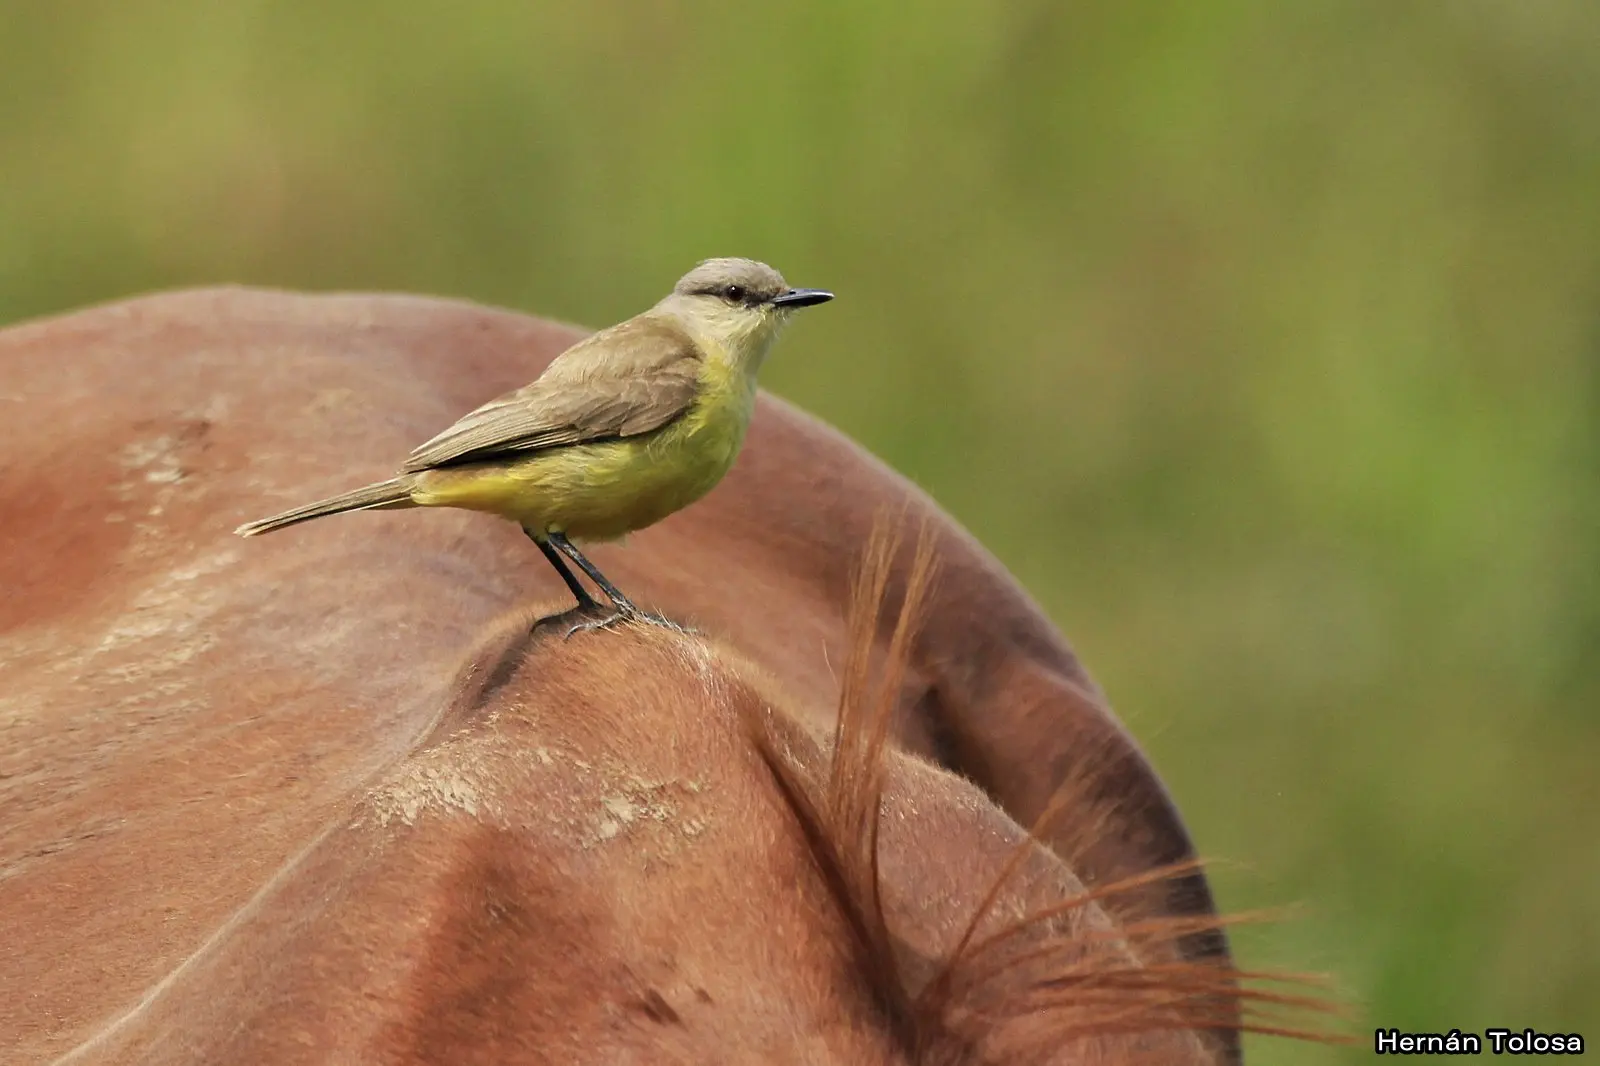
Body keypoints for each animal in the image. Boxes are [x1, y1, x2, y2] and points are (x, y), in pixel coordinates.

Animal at [0, 289, 1338, 1063]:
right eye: (735, 290)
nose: (792, 292)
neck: (708, 357)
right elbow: (581, 548)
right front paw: (618, 604)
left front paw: (612, 605)